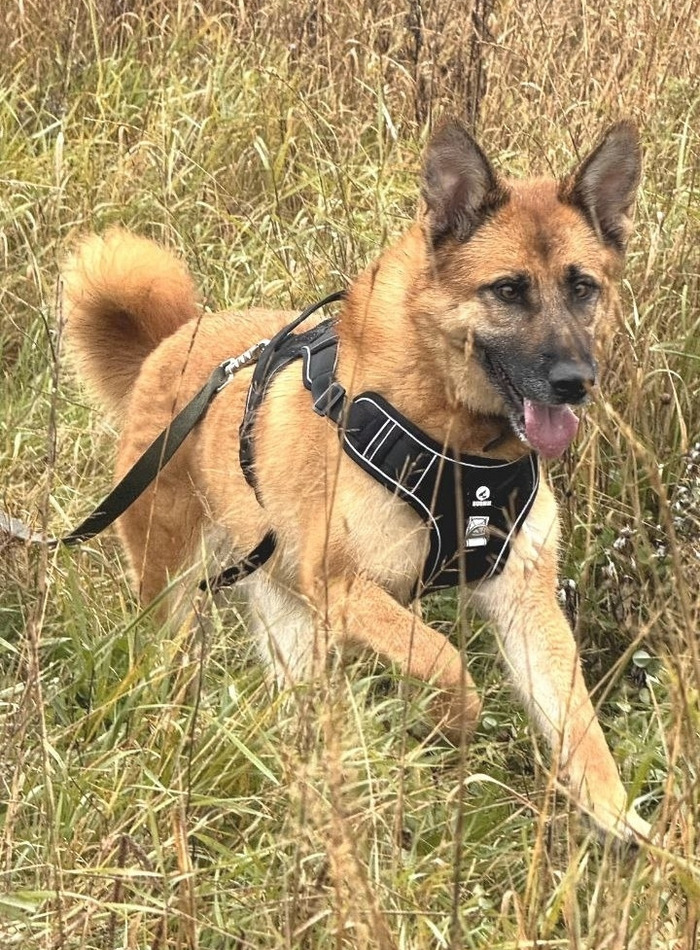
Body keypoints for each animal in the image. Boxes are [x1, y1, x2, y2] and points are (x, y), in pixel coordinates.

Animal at [62, 119, 649, 842]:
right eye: (509, 289)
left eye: (582, 287)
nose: (575, 382)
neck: (459, 442)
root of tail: (172, 342)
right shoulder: (348, 586)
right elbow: (442, 658)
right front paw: (451, 718)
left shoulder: (523, 599)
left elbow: (579, 725)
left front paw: (622, 822)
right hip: (171, 589)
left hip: (290, 622)